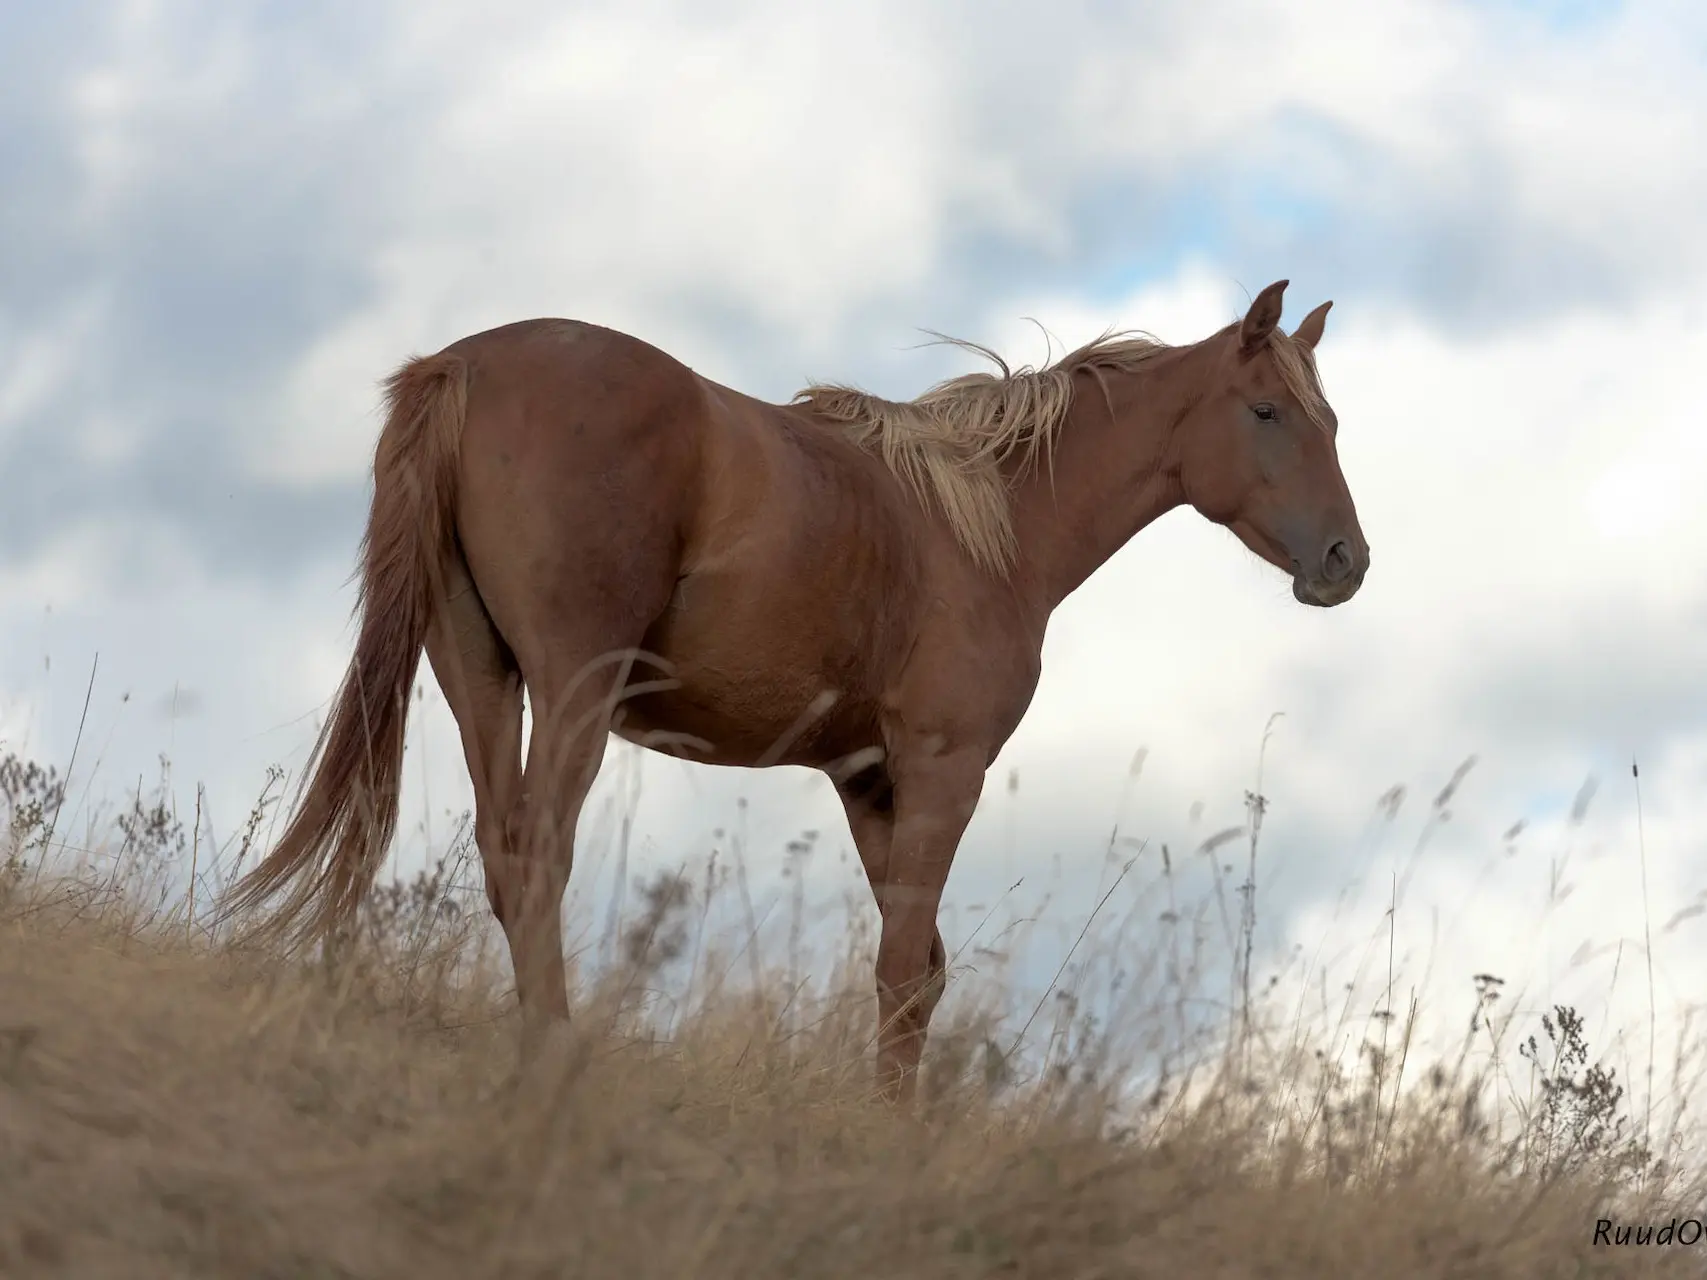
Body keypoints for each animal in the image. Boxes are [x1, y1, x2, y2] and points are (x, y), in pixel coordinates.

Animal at [220, 279, 1365, 1105]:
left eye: (1331, 421)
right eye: (1267, 411)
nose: (1345, 562)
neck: (980, 525)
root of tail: (466, 362)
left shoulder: (865, 782)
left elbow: (921, 970)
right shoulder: (942, 768)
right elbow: (903, 972)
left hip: (481, 681)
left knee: (507, 862)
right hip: (571, 691)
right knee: (539, 860)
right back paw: (553, 1060)